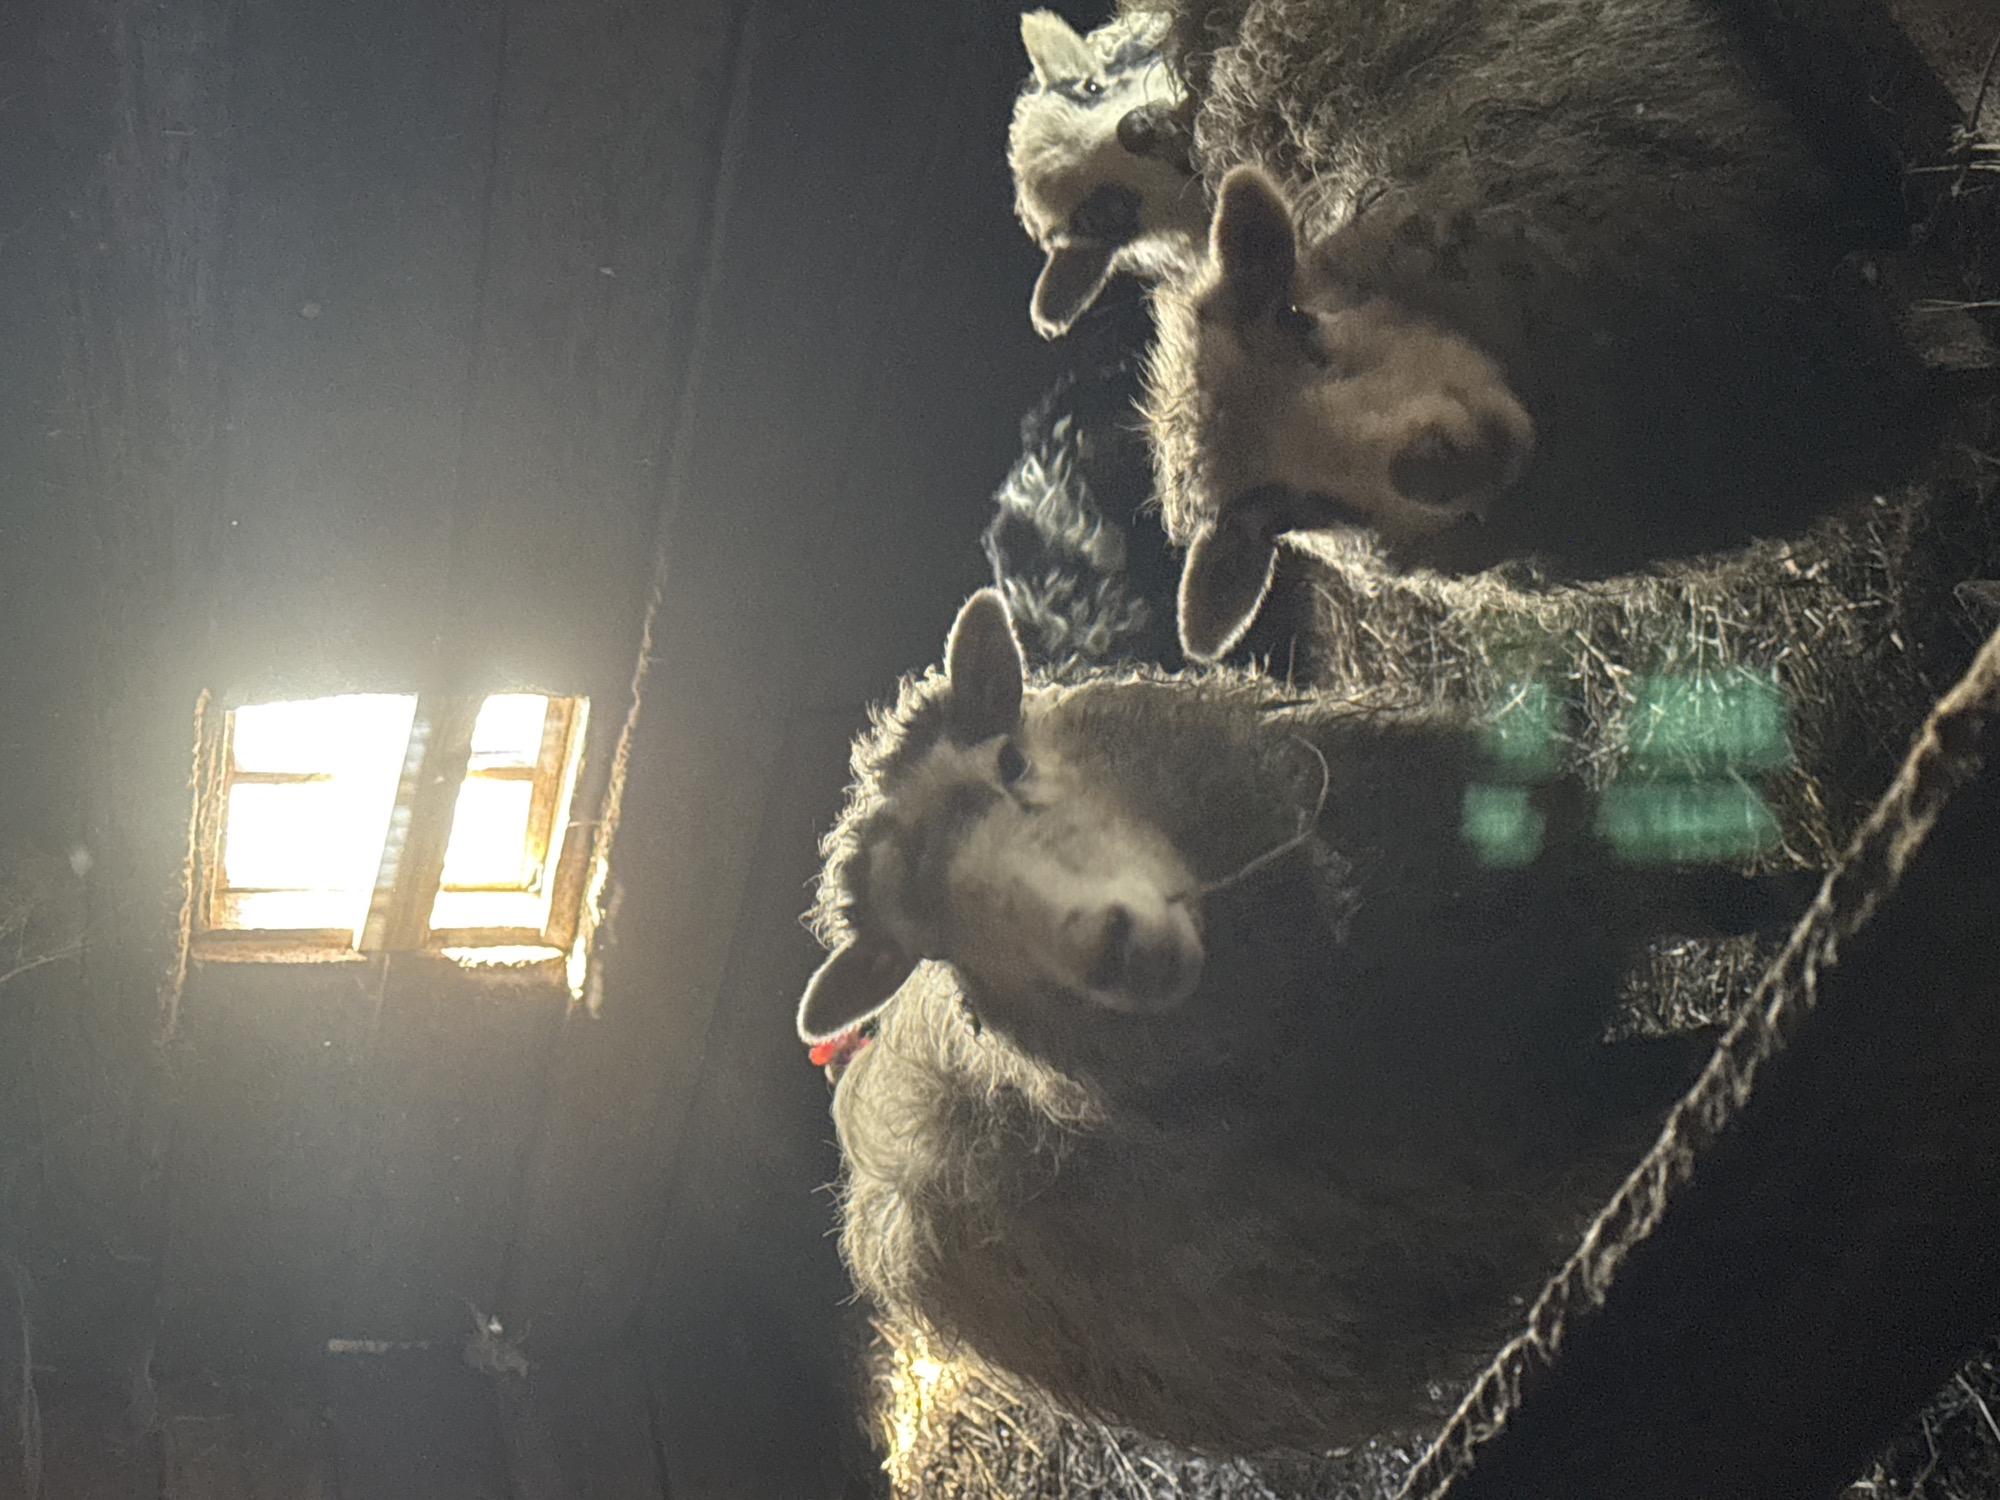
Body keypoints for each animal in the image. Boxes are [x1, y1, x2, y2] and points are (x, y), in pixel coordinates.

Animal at [799, 587, 1800, 1454]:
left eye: (1010, 760)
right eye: (935, 943)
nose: (1112, 951)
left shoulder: (1580, 876)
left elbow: (1720, 898)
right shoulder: (1530, 1127)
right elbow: (1702, 1065)